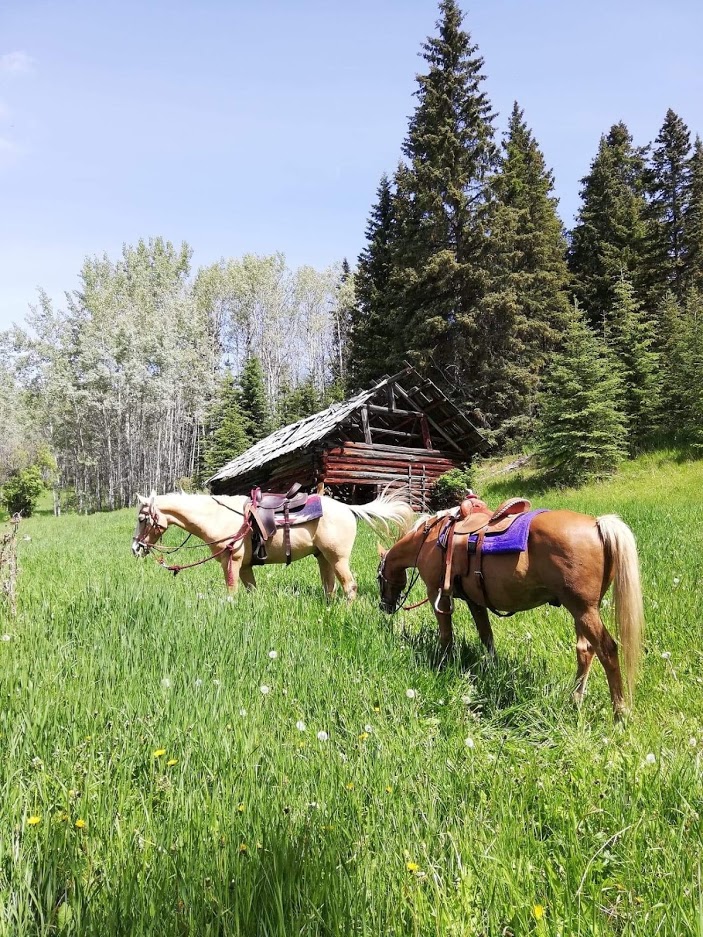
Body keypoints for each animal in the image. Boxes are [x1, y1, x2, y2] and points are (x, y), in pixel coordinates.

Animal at [132, 489, 414, 600]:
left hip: (338, 558)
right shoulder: (246, 566)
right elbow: (250, 591)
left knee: (349, 586)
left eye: (141, 519)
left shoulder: (232, 561)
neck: (219, 517)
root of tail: (349, 508)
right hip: (323, 557)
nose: (135, 548)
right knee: (330, 587)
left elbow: (231, 591)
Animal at [377, 504, 644, 720]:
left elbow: (446, 635)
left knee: (607, 650)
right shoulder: (475, 601)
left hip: (583, 610)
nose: (385, 606)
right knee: (585, 650)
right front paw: (492, 667)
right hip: (583, 610)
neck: (430, 539)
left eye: (379, 576)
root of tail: (597, 524)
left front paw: (442, 662)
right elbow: (486, 635)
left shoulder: (437, 593)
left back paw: (620, 713)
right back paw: (575, 699)